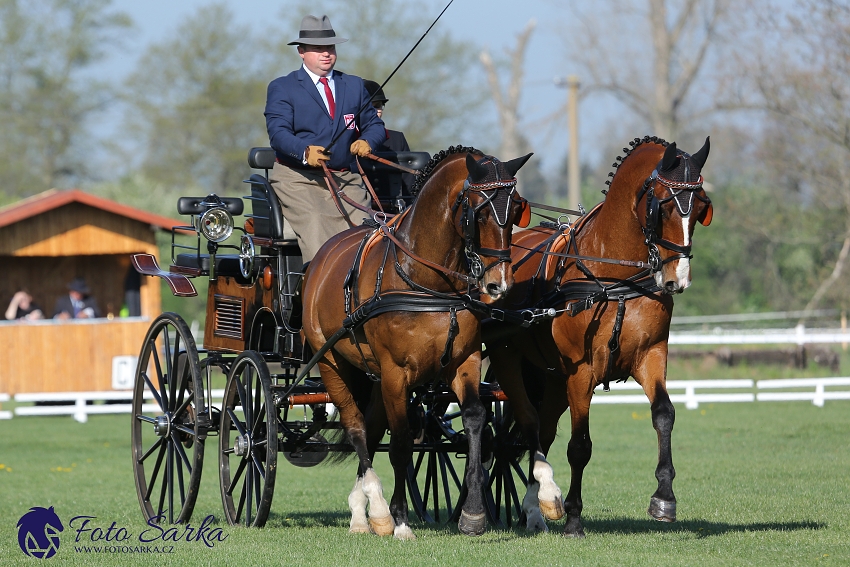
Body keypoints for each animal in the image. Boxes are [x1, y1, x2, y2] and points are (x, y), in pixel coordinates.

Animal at [300, 144, 528, 540]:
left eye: (515, 209)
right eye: (479, 211)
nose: (498, 284)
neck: (427, 283)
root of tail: (321, 257)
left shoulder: (464, 361)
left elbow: (475, 420)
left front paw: (473, 513)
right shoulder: (396, 372)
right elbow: (403, 442)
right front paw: (400, 519)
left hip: (374, 376)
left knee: (372, 428)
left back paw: (361, 509)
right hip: (331, 363)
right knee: (356, 426)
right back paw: (375, 511)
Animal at [484, 136, 708, 536]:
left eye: (700, 208)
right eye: (663, 205)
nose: (676, 279)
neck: (612, 277)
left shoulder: (651, 355)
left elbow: (664, 414)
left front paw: (664, 497)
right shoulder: (582, 371)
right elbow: (580, 446)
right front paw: (574, 517)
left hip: (552, 377)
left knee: (540, 432)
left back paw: (537, 506)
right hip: (513, 361)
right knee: (526, 426)